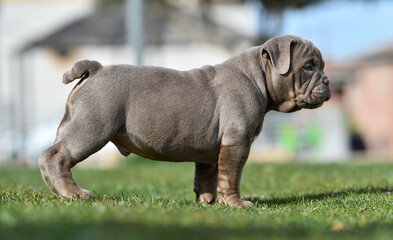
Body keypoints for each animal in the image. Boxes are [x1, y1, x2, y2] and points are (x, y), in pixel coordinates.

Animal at [39, 34, 328, 208]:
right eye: (308, 67)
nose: (327, 81)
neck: (258, 75)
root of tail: (95, 69)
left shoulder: (212, 151)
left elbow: (208, 176)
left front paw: (209, 202)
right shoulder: (236, 142)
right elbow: (231, 176)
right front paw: (236, 204)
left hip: (71, 125)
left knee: (49, 156)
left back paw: (56, 190)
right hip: (93, 128)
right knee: (57, 156)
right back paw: (74, 193)